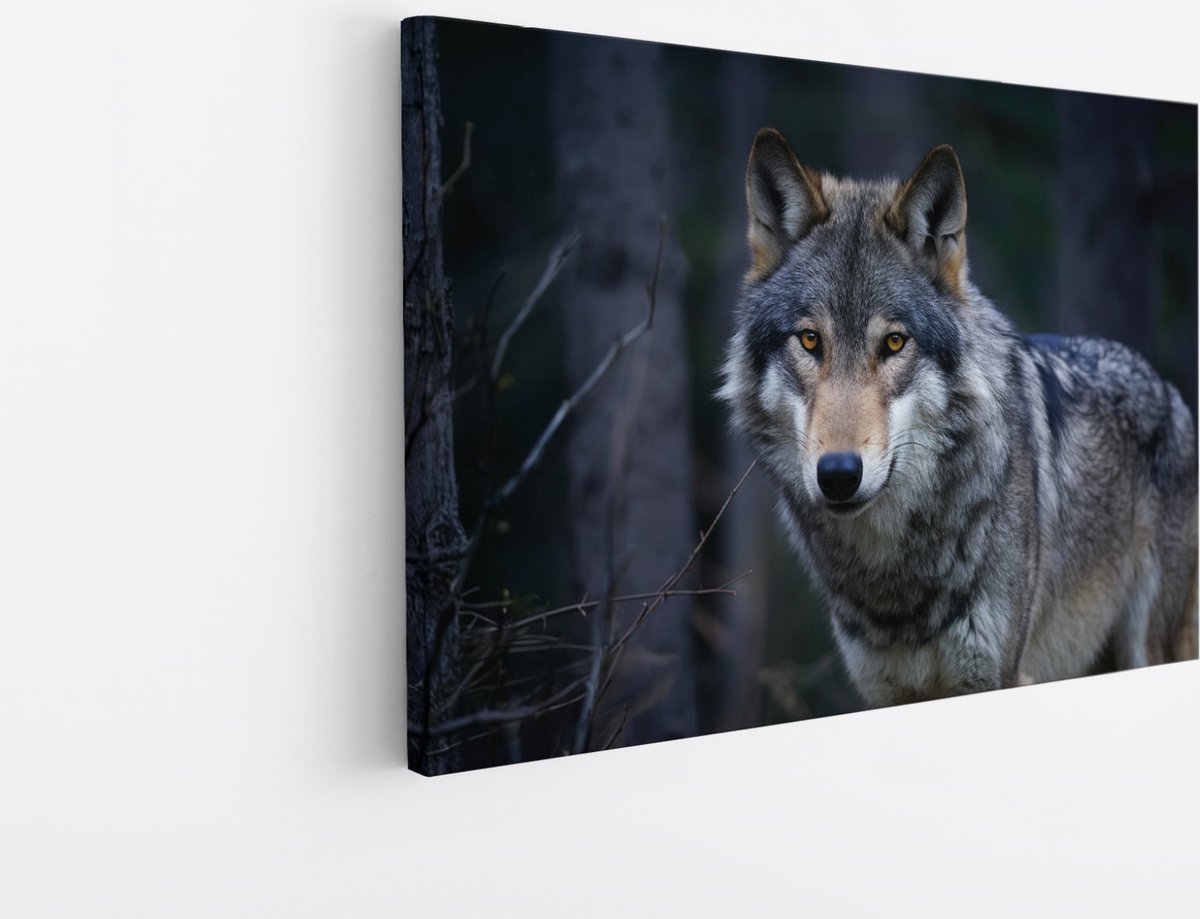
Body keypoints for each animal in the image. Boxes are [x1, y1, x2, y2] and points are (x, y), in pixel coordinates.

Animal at [719, 128, 1198, 707]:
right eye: (810, 340)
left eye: (894, 342)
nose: (838, 474)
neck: (894, 581)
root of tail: (1168, 390)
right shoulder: (883, 692)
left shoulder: (994, 677)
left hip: (1151, 645)